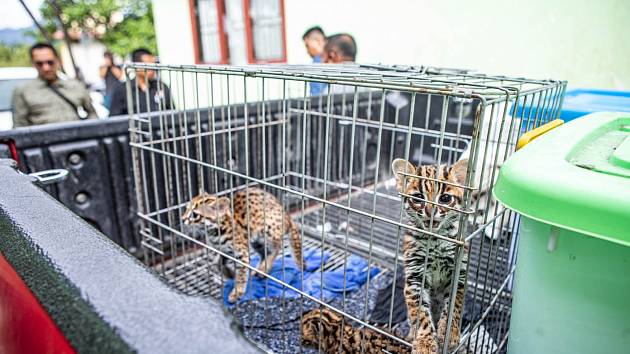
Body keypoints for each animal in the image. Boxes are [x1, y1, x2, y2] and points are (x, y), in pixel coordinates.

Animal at [392, 158, 472, 354]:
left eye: (445, 198)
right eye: (418, 198)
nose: (430, 211)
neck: (435, 239)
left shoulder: (458, 276)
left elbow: (453, 308)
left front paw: (450, 335)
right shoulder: (415, 276)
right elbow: (420, 313)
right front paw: (424, 344)